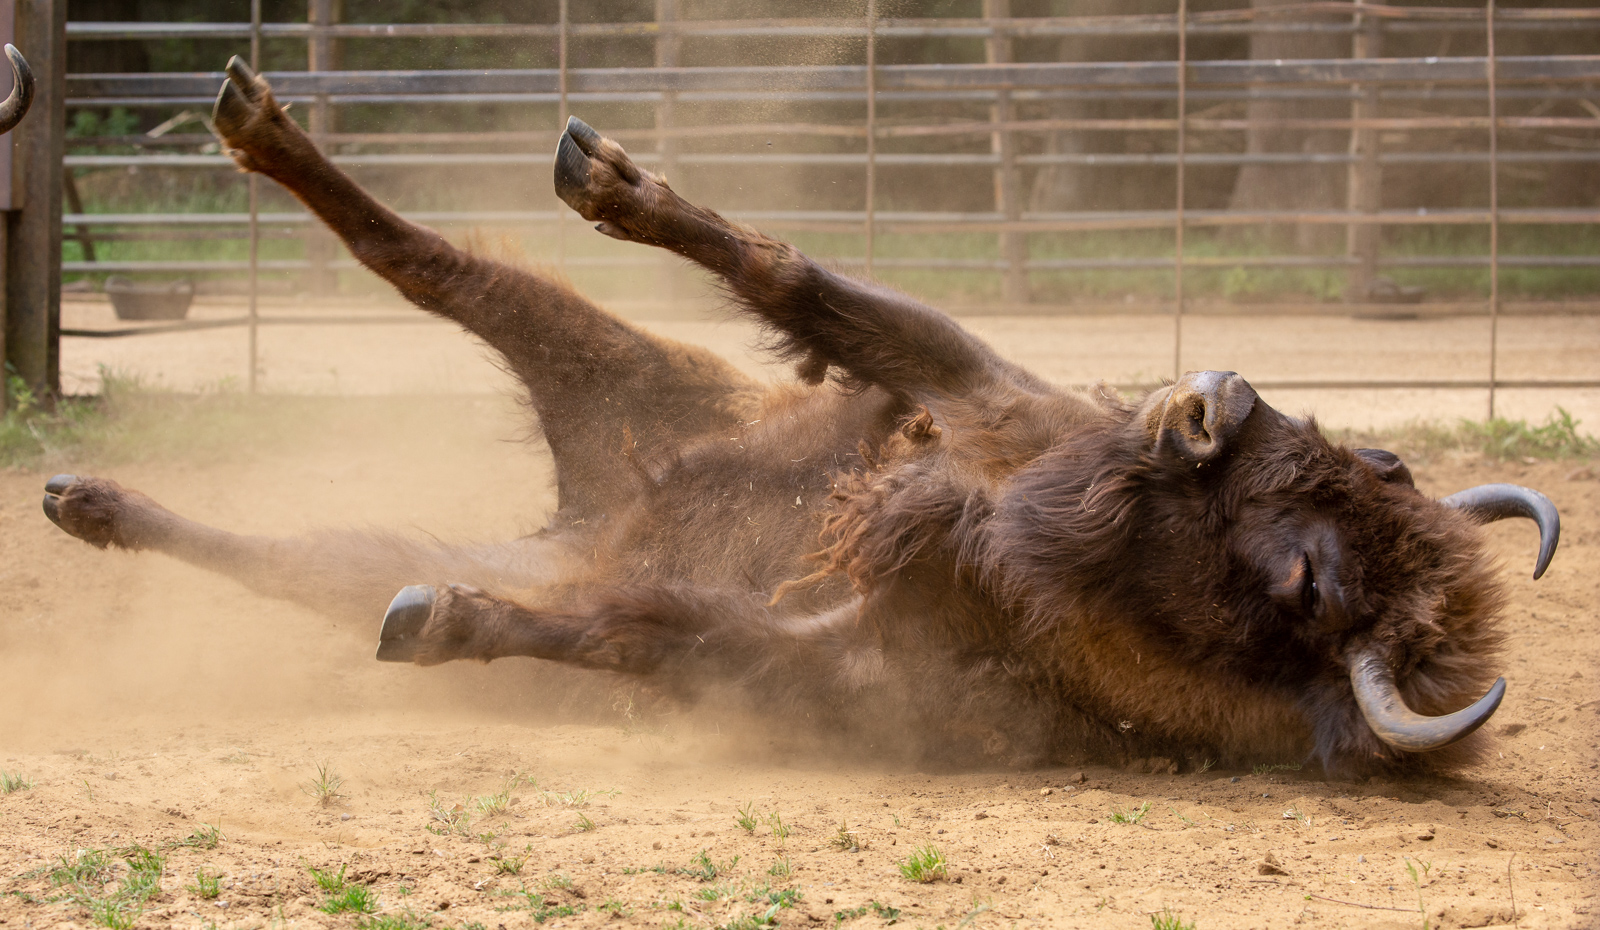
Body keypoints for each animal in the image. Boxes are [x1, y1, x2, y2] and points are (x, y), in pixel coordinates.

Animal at [42, 59, 1560, 777]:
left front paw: (443, 626)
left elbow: (644, 633)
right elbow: (806, 286)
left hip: (464, 521)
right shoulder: (976, 399)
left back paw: (118, 510)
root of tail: (595, 513)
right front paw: (620, 187)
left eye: (1313, 585)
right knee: (427, 264)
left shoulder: (827, 651)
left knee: (319, 547)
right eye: (1375, 455)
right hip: (626, 372)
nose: (1212, 404)